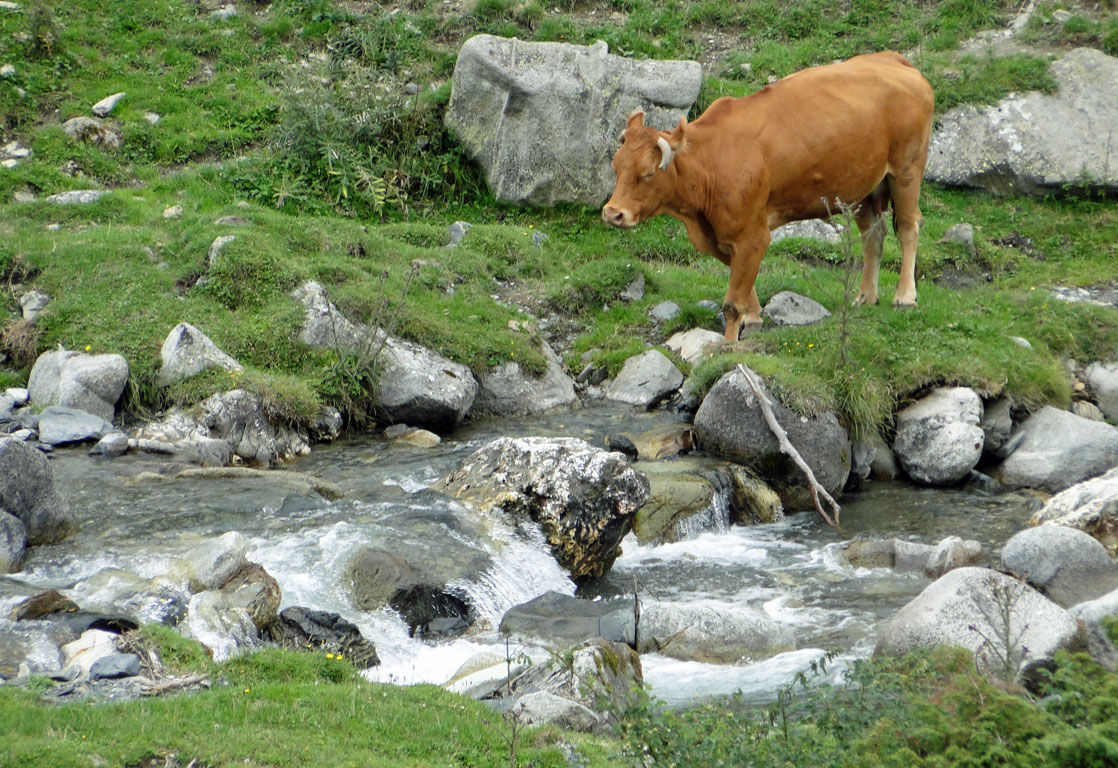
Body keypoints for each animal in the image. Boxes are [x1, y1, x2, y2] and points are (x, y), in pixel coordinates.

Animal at [603, 52, 934, 342]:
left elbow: (731, 303)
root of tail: (891, 59)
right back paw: (866, 296)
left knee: (908, 226)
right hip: (865, 185)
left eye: (648, 173)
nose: (613, 212)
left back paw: (905, 297)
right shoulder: (725, 236)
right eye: (616, 166)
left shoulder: (752, 234)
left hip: (906, 169)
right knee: (873, 235)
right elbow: (741, 280)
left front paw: (729, 345)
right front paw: (753, 318)